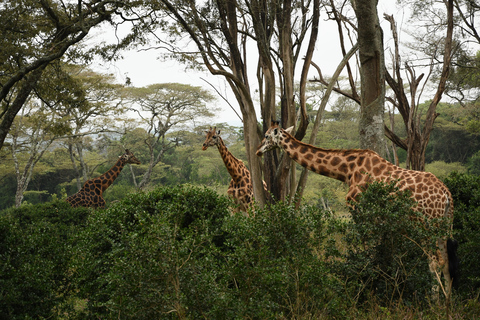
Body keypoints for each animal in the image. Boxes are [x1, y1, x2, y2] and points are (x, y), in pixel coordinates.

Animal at [256, 120, 460, 300]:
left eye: (266, 136)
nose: (258, 150)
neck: (346, 170)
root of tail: (446, 194)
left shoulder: (359, 209)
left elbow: (368, 253)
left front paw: (370, 292)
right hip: (443, 225)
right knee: (446, 261)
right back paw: (448, 302)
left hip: (425, 226)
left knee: (434, 261)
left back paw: (434, 303)